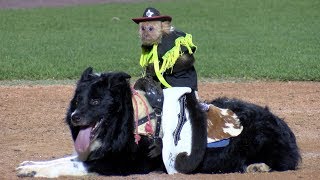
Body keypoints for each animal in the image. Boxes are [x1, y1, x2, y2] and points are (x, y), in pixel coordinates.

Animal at [15, 68, 300, 179]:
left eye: (96, 101)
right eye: (77, 100)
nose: (75, 117)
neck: (127, 120)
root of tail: (281, 123)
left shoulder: (118, 164)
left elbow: (70, 164)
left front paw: (35, 171)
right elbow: (63, 158)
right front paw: (30, 165)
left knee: (284, 163)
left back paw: (258, 166)